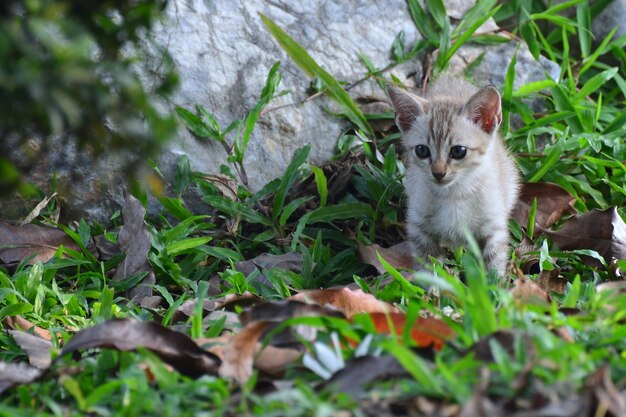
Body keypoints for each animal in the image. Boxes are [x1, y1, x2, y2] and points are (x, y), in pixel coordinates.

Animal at [388, 76, 520, 274]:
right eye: (421, 150)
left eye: (458, 151)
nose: (438, 173)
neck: (454, 195)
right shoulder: (419, 227)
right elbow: (428, 268)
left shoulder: (494, 227)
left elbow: (493, 265)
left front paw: (496, 282)